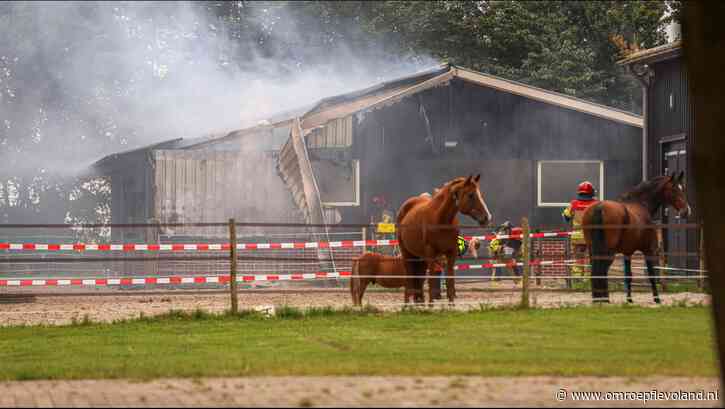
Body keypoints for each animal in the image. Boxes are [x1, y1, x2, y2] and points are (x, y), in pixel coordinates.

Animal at [396, 175, 492, 304]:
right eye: (471, 195)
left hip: (421, 257)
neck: (440, 219)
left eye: (480, 194)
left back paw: (419, 301)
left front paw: (451, 304)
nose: (487, 217)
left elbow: (450, 281)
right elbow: (432, 279)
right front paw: (431, 305)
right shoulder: (431, 254)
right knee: (410, 275)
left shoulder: (451, 254)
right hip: (407, 253)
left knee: (419, 277)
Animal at [582, 172, 691, 304]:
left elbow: (628, 276)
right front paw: (657, 299)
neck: (641, 203)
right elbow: (651, 275)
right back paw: (603, 298)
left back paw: (599, 298)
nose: (686, 211)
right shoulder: (649, 250)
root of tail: (600, 207)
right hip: (608, 251)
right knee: (602, 269)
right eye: (674, 189)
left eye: (683, 188)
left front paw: (629, 299)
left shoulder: (627, 253)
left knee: (596, 269)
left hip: (592, 248)